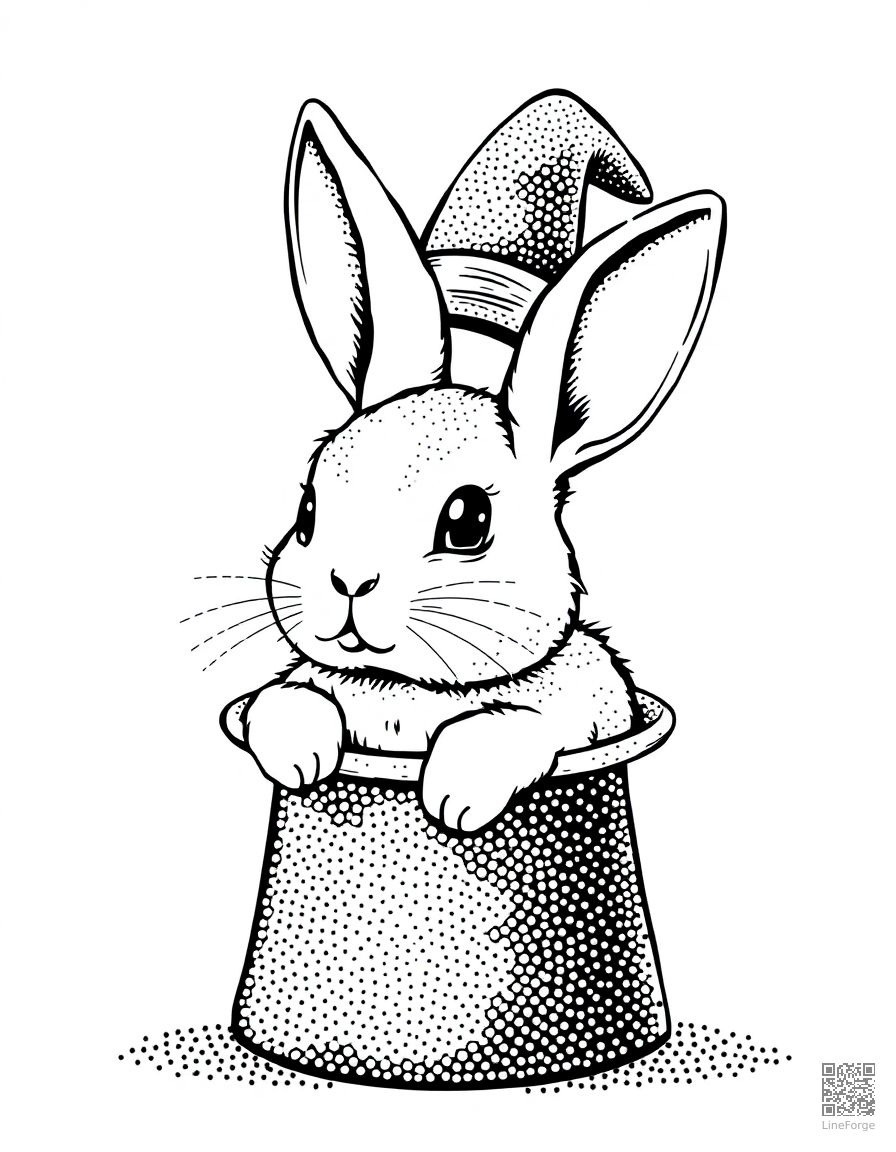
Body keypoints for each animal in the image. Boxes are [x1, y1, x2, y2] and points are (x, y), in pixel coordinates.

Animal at [220, 95, 725, 832]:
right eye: (308, 511)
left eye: (468, 522)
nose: (348, 583)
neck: (403, 690)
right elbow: (287, 697)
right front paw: (297, 754)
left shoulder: (580, 713)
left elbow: (514, 723)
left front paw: (455, 794)